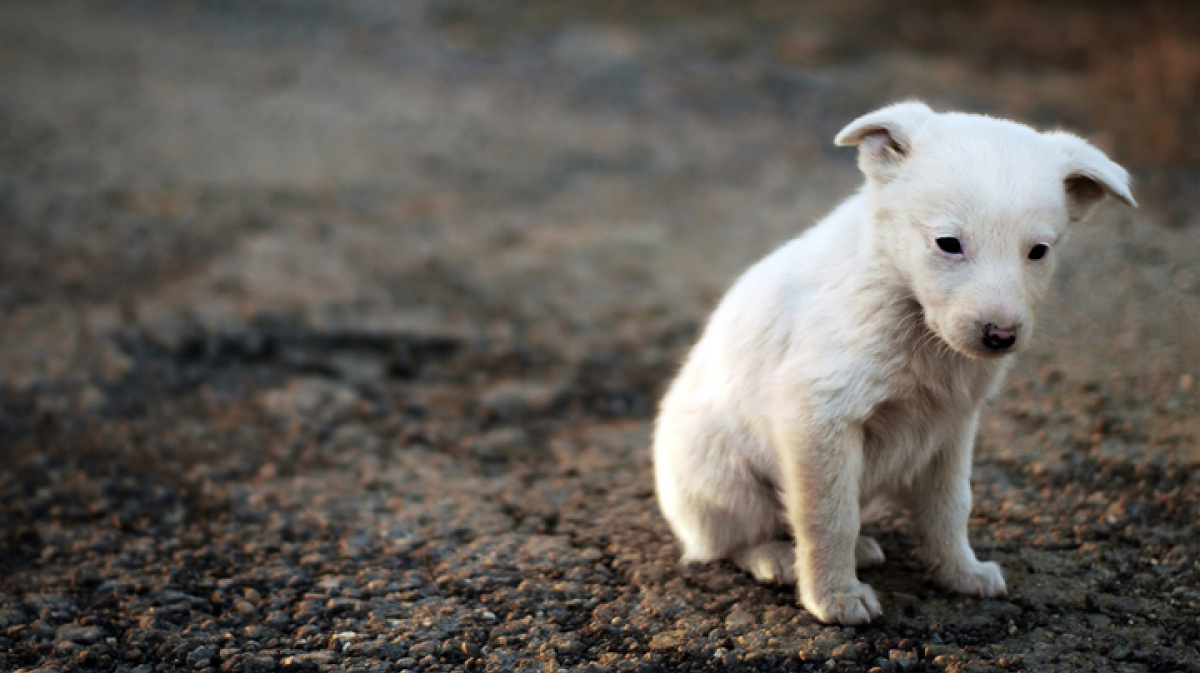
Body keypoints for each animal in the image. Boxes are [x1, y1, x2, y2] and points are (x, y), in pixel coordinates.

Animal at [657, 100, 1132, 623]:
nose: (1001, 337)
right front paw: (835, 597)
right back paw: (776, 558)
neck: (911, 313)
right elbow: (829, 517)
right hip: (723, 476)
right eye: (948, 243)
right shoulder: (819, 417)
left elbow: (950, 508)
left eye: (1039, 252)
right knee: (733, 540)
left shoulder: (952, 428)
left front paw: (961, 573)